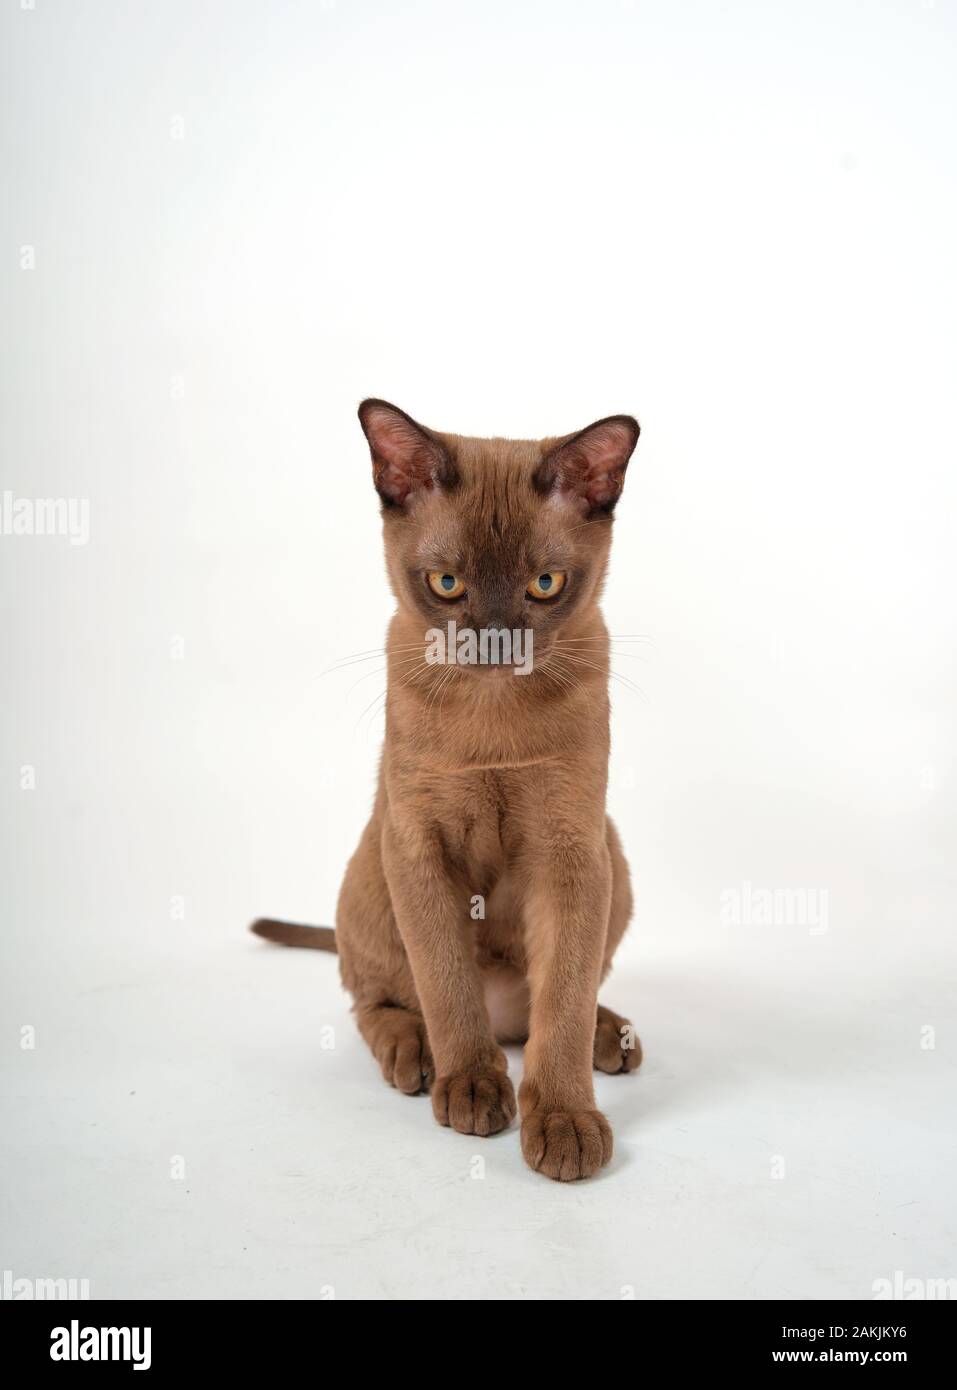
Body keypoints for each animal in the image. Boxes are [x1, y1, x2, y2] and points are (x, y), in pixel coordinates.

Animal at [254, 397, 642, 1178]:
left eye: (544, 586)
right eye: (447, 585)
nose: (493, 642)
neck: (492, 716)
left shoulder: (572, 849)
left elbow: (564, 997)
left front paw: (564, 1121)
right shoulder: (419, 841)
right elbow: (446, 983)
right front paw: (472, 1089)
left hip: (612, 855)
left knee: (553, 1006)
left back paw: (609, 1037)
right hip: (371, 861)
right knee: (379, 1000)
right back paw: (415, 1056)